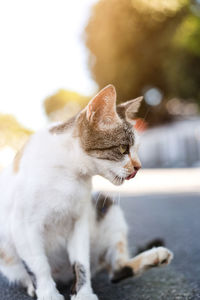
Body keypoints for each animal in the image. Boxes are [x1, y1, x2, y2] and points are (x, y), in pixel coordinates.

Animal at [0, 85, 173, 300]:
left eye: (137, 149)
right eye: (123, 148)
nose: (138, 167)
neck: (69, 173)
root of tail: (63, 276)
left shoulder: (79, 221)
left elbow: (81, 261)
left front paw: (83, 293)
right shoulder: (23, 225)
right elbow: (38, 264)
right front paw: (48, 293)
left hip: (106, 206)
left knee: (116, 270)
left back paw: (156, 256)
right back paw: (32, 287)